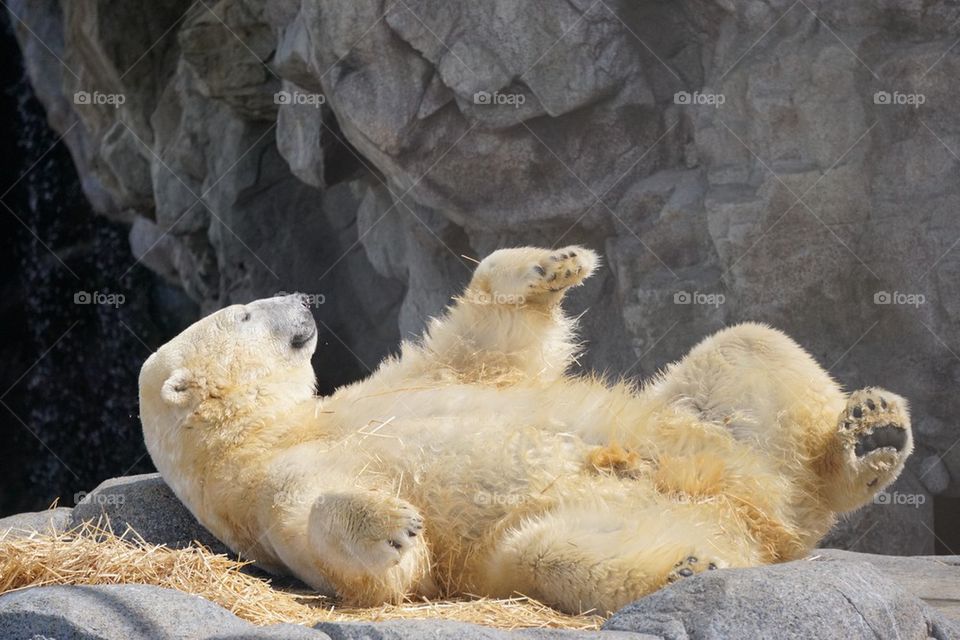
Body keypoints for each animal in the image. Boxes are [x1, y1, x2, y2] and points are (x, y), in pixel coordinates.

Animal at [139, 245, 912, 616]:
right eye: (244, 313)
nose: (303, 296)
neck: (273, 430)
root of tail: (761, 510)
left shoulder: (396, 382)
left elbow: (488, 344)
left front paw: (553, 265)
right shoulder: (259, 495)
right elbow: (351, 554)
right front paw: (390, 523)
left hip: (720, 438)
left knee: (750, 345)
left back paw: (866, 437)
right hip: (602, 519)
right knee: (560, 552)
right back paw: (692, 565)